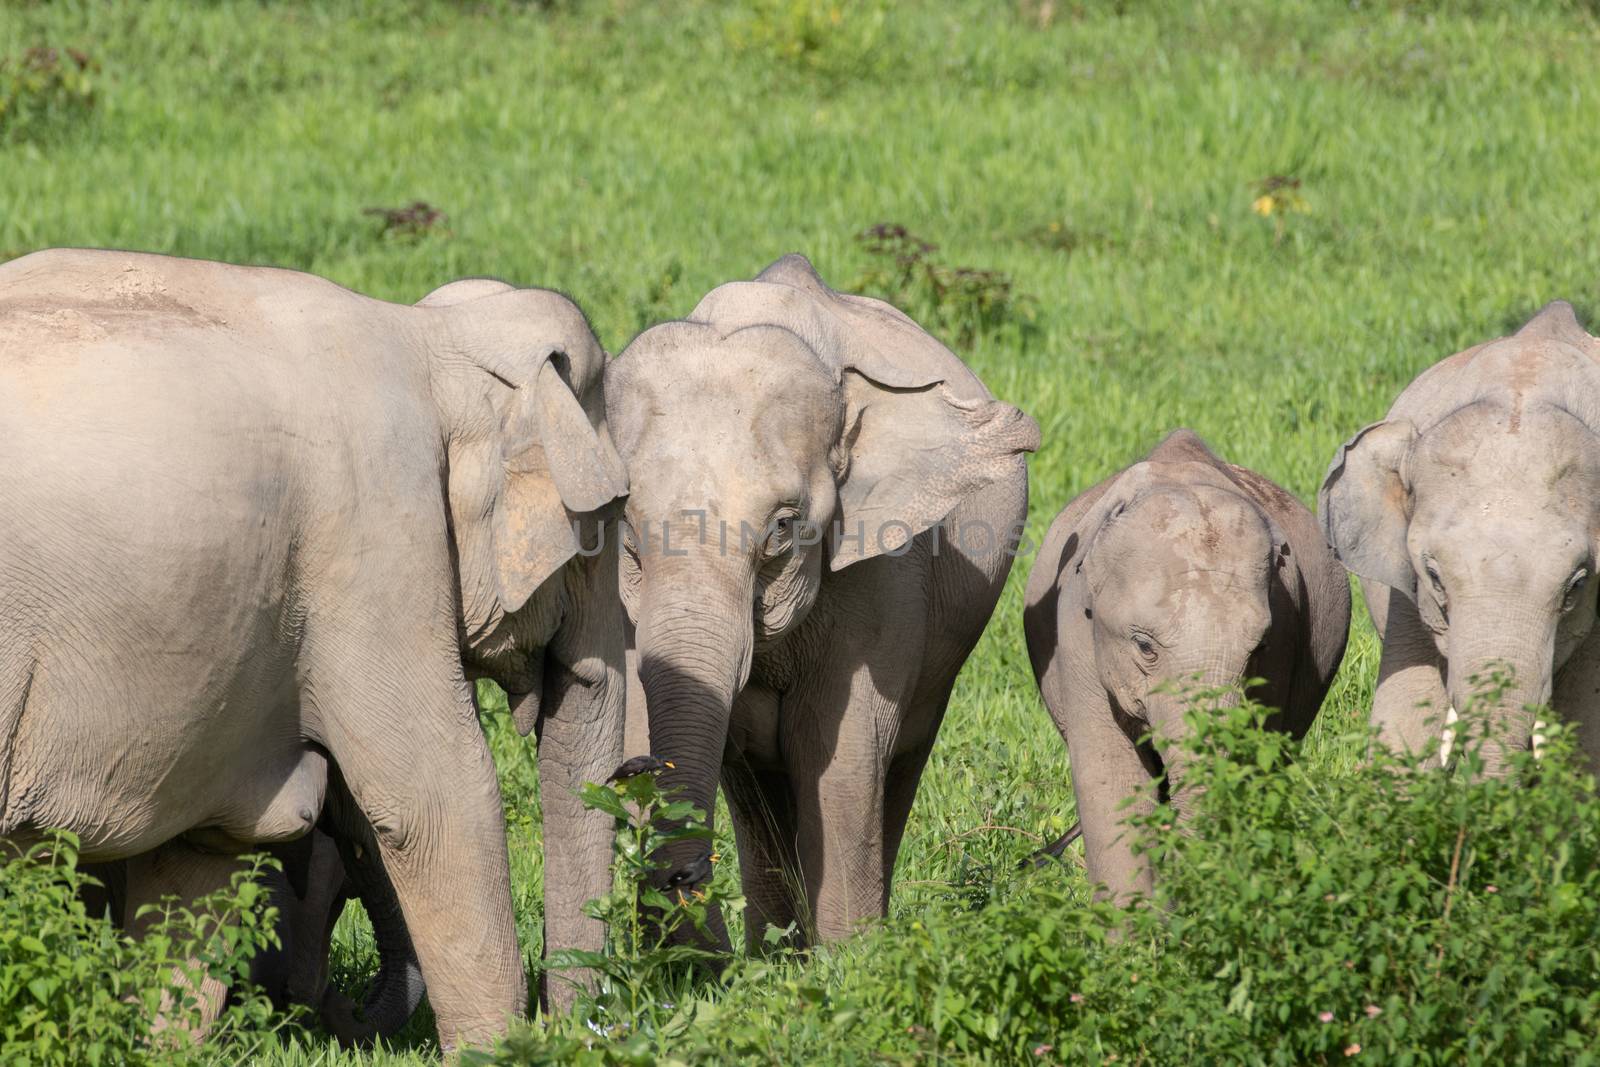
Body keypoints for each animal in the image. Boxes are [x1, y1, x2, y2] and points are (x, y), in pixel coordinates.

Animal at [0, 252, 624, 1049]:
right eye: (610, 522)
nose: (578, 1026)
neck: (432, 337)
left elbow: (201, 853)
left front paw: (156, 1045)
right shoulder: (375, 535)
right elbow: (436, 794)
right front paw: (498, 1051)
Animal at [601, 255, 1036, 953]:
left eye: (783, 527)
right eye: (627, 526)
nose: (684, 874)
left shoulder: (884, 573)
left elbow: (841, 754)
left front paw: (851, 963)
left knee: (896, 763)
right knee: (754, 790)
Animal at [1024, 428, 1350, 902]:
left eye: (1259, 648)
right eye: (1144, 647)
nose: (1034, 860)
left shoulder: (1287, 633)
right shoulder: (1075, 632)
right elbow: (1110, 774)